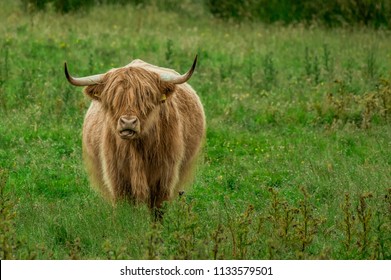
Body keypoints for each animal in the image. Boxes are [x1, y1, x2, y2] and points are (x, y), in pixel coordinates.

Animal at [64, 56, 205, 212]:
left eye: (146, 96)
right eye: (113, 98)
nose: (128, 122)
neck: (136, 149)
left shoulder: (164, 177)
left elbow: (157, 209)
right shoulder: (118, 178)